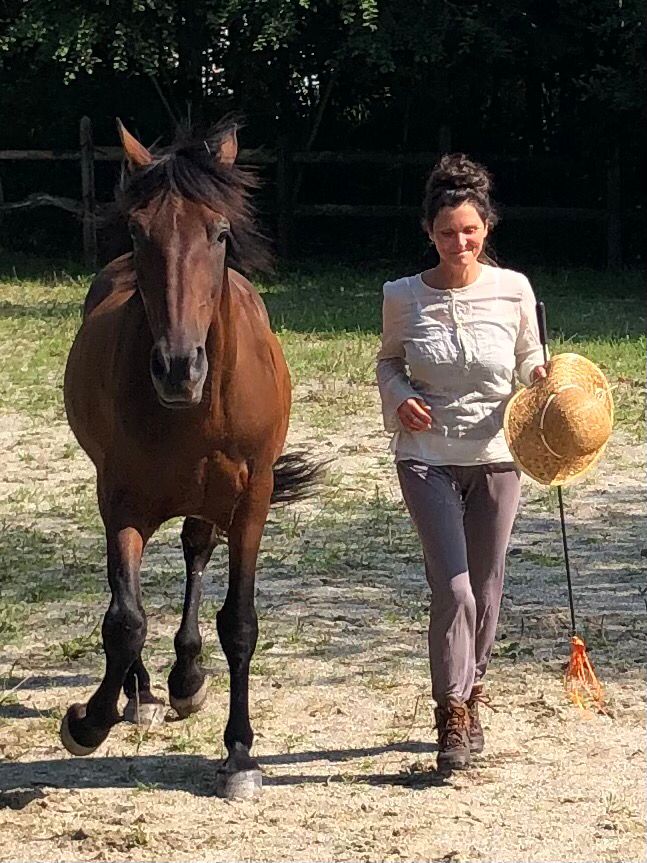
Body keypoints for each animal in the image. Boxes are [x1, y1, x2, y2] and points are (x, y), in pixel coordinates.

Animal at [62, 118, 320, 800]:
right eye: (137, 231)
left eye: (220, 232)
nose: (179, 368)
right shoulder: (121, 501)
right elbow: (124, 621)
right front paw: (88, 722)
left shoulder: (251, 502)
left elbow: (240, 622)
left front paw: (241, 754)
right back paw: (144, 694)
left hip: (211, 500)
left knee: (197, 552)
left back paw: (186, 678)